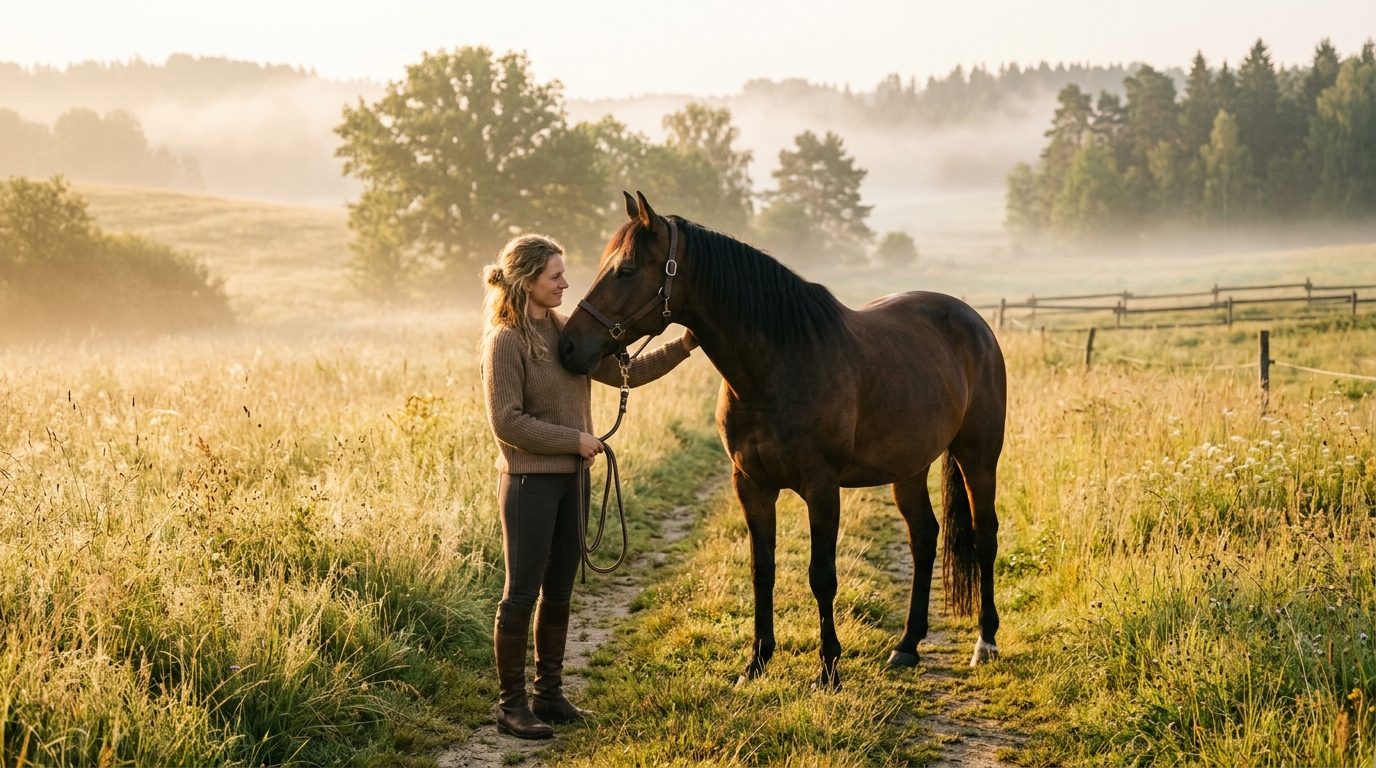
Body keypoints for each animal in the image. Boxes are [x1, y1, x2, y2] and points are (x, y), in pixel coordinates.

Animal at [558, 192, 1006, 690]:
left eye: (627, 270)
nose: (569, 346)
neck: (778, 364)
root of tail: (973, 321)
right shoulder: (751, 485)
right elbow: (762, 570)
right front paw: (755, 663)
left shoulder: (822, 488)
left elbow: (822, 575)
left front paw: (828, 669)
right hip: (908, 468)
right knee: (924, 538)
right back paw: (907, 646)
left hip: (978, 456)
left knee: (984, 537)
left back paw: (985, 643)